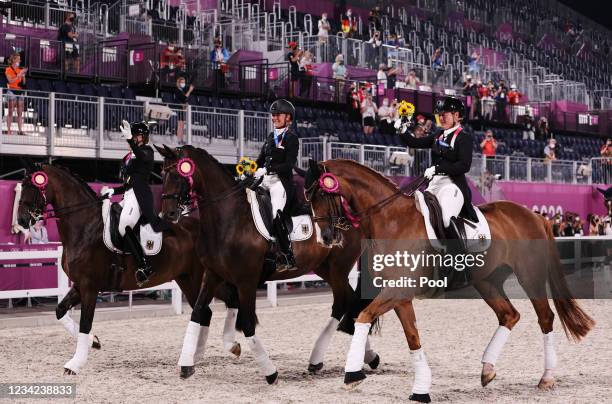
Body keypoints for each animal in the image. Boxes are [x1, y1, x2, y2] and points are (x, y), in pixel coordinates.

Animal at [16, 163, 241, 376]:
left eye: (31, 186)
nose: (21, 220)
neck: (85, 226)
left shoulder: (90, 287)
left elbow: (85, 323)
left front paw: (75, 364)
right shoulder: (80, 285)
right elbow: (60, 311)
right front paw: (94, 342)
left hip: (200, 279)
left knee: (220, 303)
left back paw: (227, 347)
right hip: (187, 280)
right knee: (208, 310)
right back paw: (199, 355)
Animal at [155, 144, 380, 382]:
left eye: (179, 175)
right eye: (162, 174)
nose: (168, 214)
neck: (229, 219)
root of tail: (349, 214)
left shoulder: (246, 280)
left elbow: (247, 324)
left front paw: (270, 372)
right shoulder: (213, 274)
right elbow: (198, 312)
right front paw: (186, 365)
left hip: (338, 268)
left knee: (342, 303)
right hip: (324, 268)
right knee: (350, 300)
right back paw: (364, 357)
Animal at [304, 159, 592, 402]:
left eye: (323, 194)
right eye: (308, 198)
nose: (326, 238)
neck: (392, 220)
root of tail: (535, 216)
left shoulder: (397, 292)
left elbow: (363, 317)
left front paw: (353, 374)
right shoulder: (399, 296)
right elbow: (411, 338)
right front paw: (420, 389)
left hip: (530, 277)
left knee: (545, 318)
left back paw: (546, 377)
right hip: (487, 282)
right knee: (509, 315)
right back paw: (487, 369)